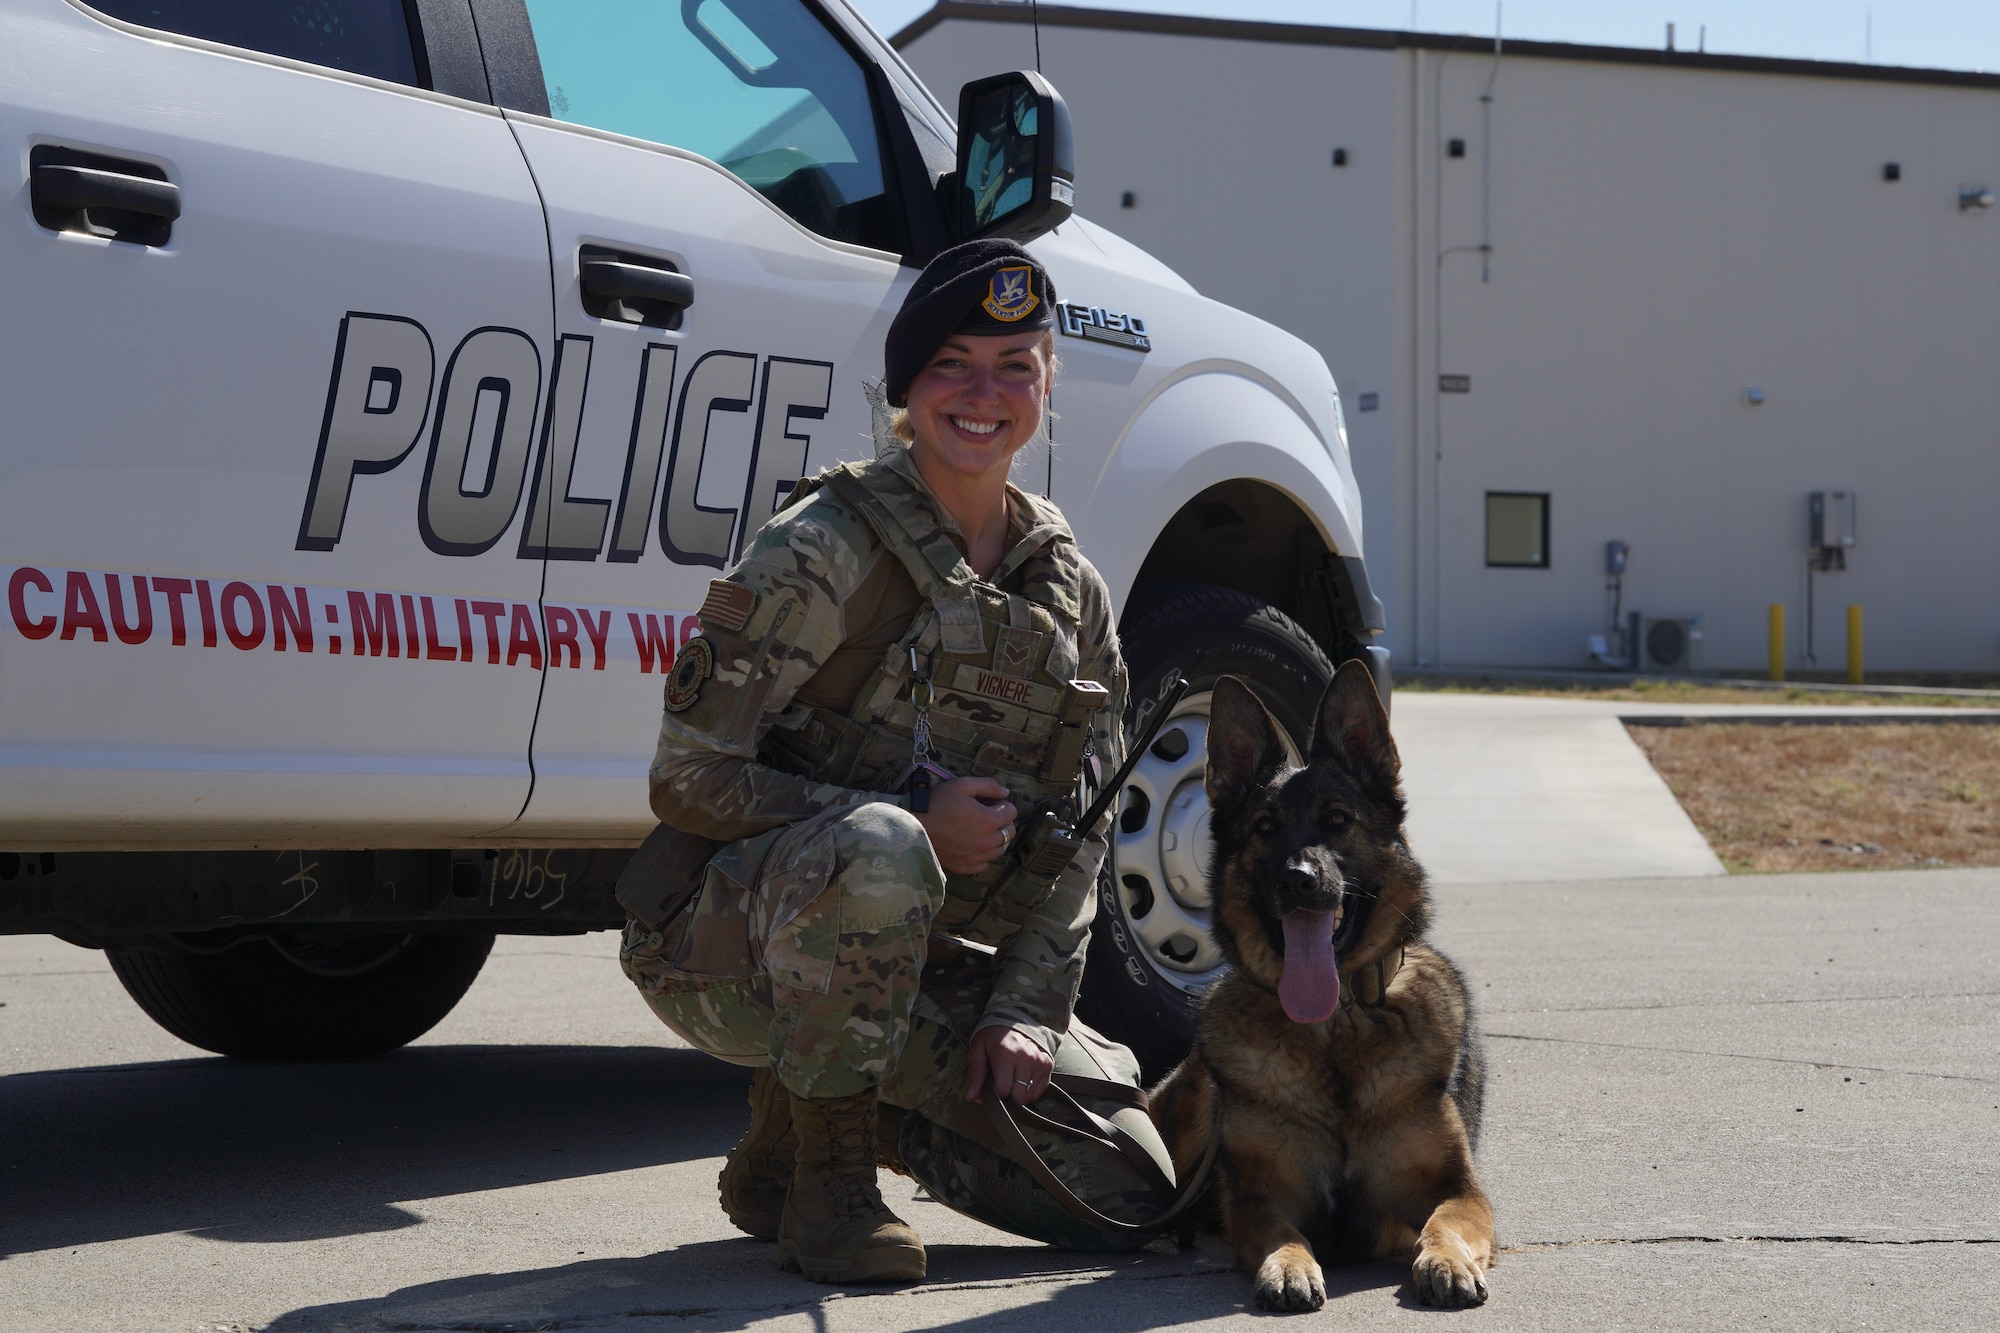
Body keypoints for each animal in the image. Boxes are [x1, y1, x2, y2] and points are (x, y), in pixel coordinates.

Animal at [1152, 660, 1496, 1304]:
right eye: (1265, 826)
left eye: (1338, 820)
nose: (1298, 879)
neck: (1334, 1028)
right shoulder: (1261, 1198)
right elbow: (1283, 1231)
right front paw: (1289, 1266)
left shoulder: (1460, 1189)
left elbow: (1444, 1222)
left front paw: (1447, 1261)